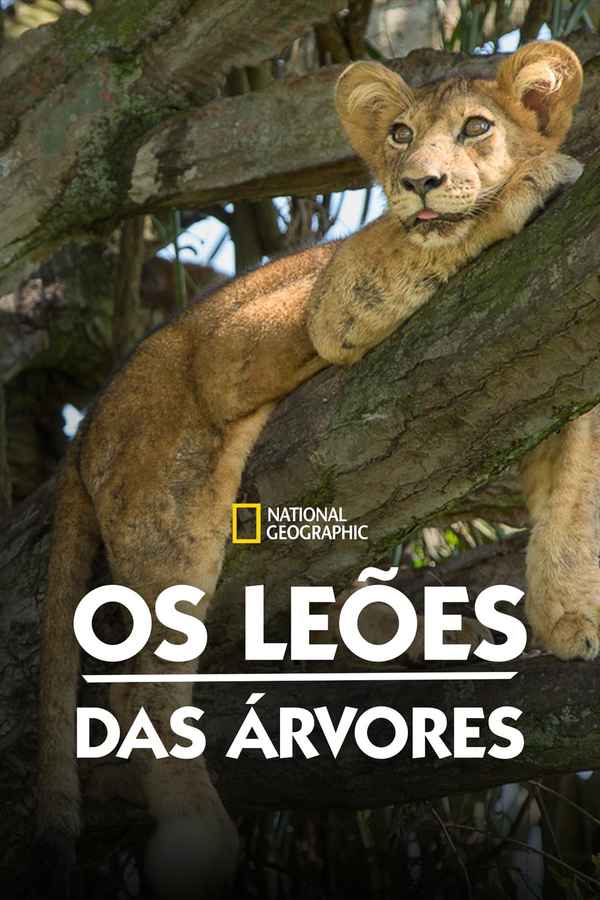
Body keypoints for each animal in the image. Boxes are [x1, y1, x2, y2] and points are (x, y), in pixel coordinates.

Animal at [36, 40, 591, 899]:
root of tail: (89, 423)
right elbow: (434, 238)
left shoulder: (540, 385)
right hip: (171, 503)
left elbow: (572, 480)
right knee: (138, 689)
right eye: (400, 136)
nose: (417, 182)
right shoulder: (340, 297)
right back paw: (198, 839)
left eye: (476, 127)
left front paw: (570, 617)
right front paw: (536, 180)